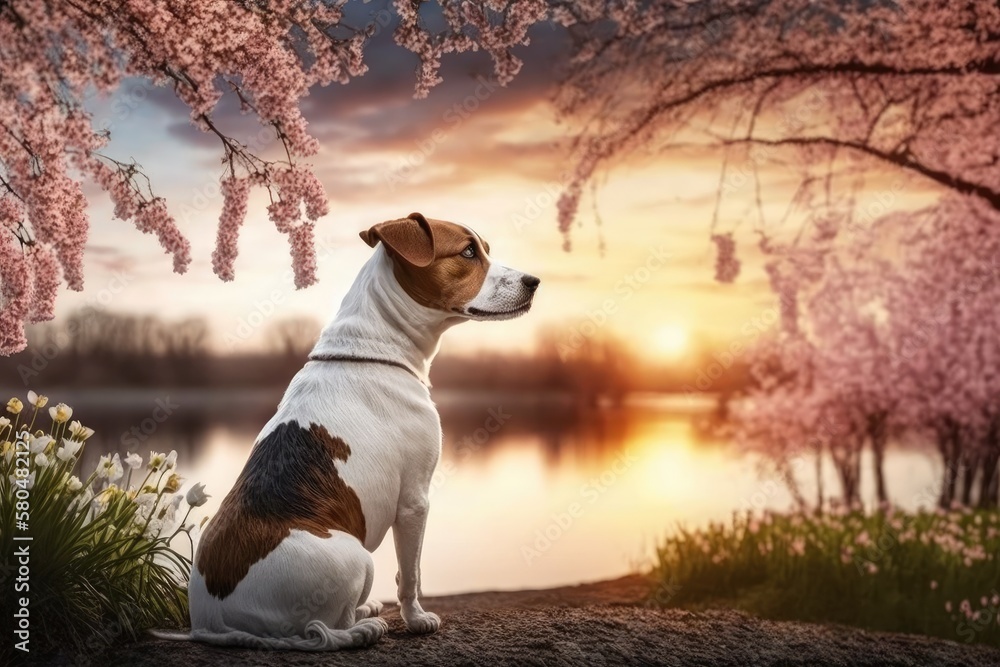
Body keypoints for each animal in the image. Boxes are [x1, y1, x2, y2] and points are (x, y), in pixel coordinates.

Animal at [156, 211, 540, 648]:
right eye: (469, 252)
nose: (534, 281)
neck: (376, 345)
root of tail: (216, 625)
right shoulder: (414, 500)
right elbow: (410, 574)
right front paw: (417, 619)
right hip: (357, 556)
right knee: (329, 625)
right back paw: (365, 626)